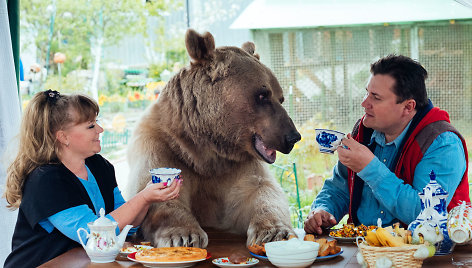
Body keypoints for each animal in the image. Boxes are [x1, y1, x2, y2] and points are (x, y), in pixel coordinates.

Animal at [127, 28, 300, 248]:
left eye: (281, 98)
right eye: (262, 95)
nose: (293, 136)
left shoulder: (236, 166)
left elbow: (261, 192)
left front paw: (275, 232)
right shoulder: (161, 146)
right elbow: (157, 193)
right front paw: (184, 235)